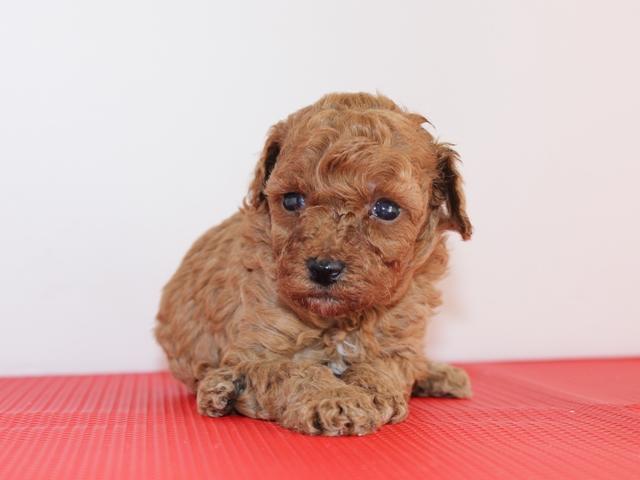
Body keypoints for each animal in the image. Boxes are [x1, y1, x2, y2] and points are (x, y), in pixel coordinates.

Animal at [155, 92, 472, 436]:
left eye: (386, 209)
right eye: (292, 200)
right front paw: (335, 398)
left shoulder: (398, 342)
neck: (343, 319)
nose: (324, 269)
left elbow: (384, 368)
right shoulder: (259, 353)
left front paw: (373, 391)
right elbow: (296, 372)